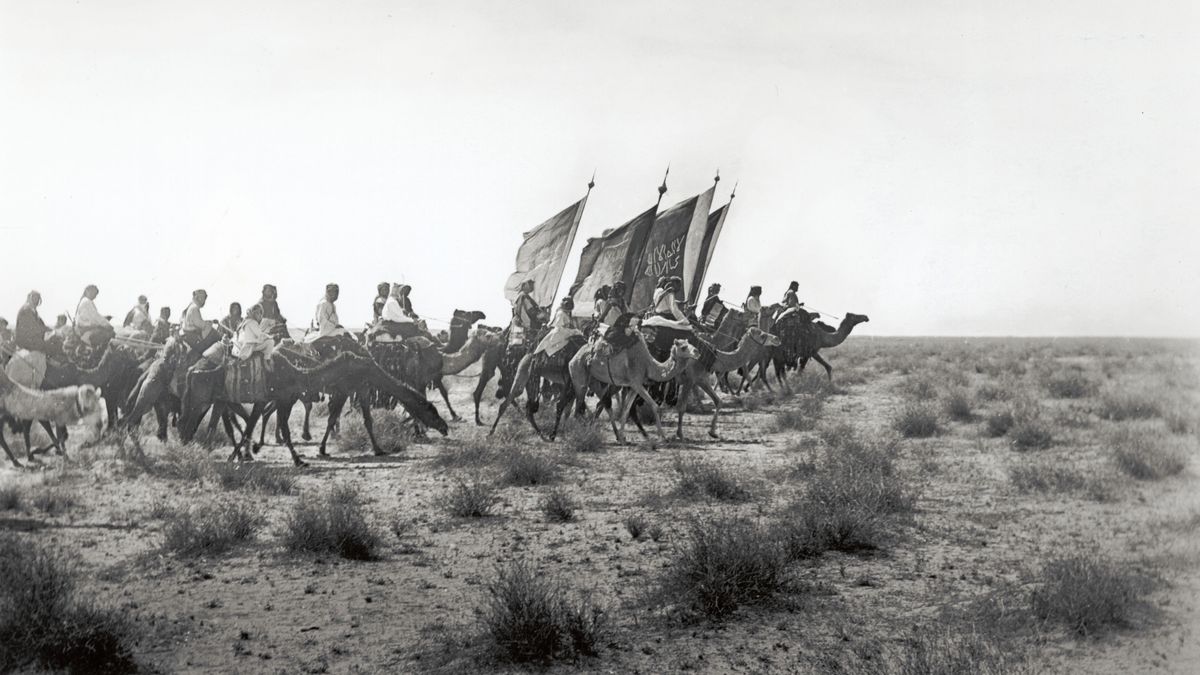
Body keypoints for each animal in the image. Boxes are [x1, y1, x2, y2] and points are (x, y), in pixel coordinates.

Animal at [182, 353, 451, 461]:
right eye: (431, 410)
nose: (445, 427)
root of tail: (191, 370)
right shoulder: (353, 389)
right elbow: (361, 419)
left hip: (217, 401)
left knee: (221, 421)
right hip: (202, 401)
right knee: (199, 422)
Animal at [566, 333, 700, 441]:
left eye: (691, 344)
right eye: (683, 347)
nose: (697, 352)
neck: (648, 365)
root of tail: (573, 357)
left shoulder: (633, 386)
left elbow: (626, 409)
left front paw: (623, 437)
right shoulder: (636, 383)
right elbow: (655, 406)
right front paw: (663, 437)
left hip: (593, 381)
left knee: (601, 403)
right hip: (579, 373)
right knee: (578, 408)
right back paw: (579, 435)